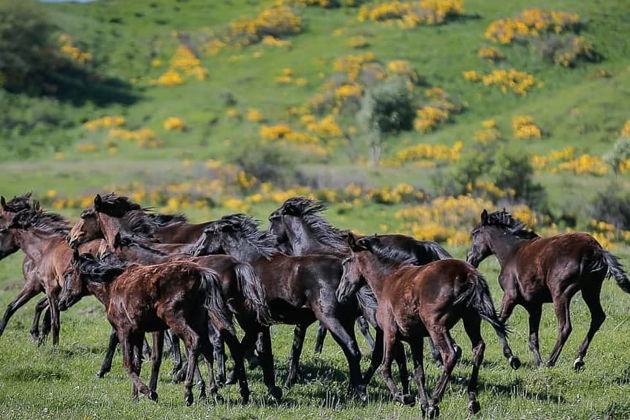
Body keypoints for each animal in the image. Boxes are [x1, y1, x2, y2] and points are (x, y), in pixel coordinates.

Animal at [65, 251, 232, 406]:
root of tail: (201, 274)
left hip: (175, 319)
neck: (111, 286)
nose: (62, 301)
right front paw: (135, 397)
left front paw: (148, 392)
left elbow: (128, 364)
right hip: (198, 320)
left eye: (68, 274)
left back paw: (188, 393)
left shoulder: (124, 330)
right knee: (207, 349)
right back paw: (215, 393)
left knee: (193, 342)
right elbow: (138, 363)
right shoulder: (138, 333)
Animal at [191, 215, 370, 402]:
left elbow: (247, 348)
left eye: (208, 232)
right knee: (353, 351)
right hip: (347, 321)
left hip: (330, 319)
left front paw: (233, 379)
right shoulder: (260, 323)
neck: (250, 263)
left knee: (351, 348)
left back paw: (361, 393)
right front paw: (272, 387)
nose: (195, 252)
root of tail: (342, 271)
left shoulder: (251, 320)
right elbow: (261, 350)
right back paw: (352, 390)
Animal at [338, 233, 520, 416]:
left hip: (436, 326)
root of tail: (468, 274)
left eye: (346, 262)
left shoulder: (390, 332)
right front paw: (422, 405)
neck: (388, 280)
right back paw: (472, 401)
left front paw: (405, 398)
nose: (340, 293)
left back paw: (435, 401)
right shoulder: (415, 339)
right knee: (478, 349)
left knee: (451, 354)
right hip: (471, 320)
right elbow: (419, 373)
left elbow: (384, 366)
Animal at [466, 208, 628, 370]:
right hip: (590, 290)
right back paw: (578, 359)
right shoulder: (534, 306)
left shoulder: (510, 296)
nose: (469, 259)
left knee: (565, 327)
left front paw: (513, 359)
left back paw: (551, 361)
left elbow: (498, 323)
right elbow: (532, 338)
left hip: (561, 295)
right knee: (598, 317)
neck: (512, 252)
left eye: (475, 233)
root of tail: (594, 249)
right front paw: (538, 363)